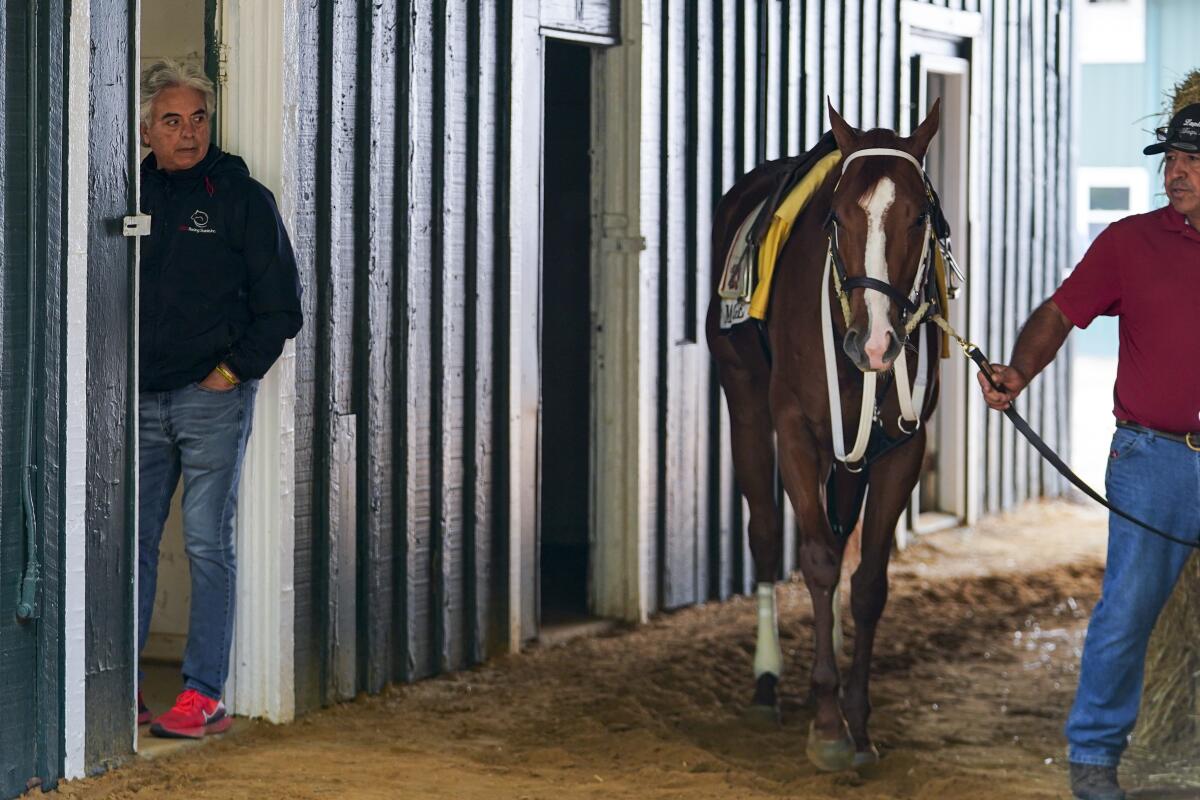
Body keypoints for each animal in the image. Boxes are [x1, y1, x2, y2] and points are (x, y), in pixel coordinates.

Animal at [700, 100, 945, 767]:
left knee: (839, 537)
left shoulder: (901, 448)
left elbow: (867, 582)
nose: (875, 343)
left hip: (853, 453)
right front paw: (829, 725)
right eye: (837, 218)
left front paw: (856, 718)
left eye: (920, 216)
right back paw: (767, 683)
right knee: (764, 531)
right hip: (746, 403)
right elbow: (813, 559)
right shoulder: (796, 431)